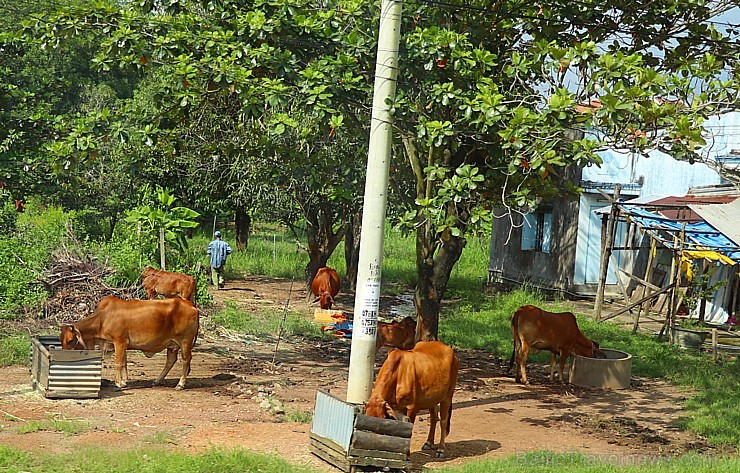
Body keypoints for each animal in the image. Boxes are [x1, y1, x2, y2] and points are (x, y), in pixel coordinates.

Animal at [59, 296, 199, 390]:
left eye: (70, 340)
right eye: (61, 340)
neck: (102, 319)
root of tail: (191, 305)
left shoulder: (120, 341)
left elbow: (118, 363)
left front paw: (118, 383)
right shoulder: (123, 344)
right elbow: (124, 362)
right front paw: (124, 381)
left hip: (185, 341)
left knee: (186, 360)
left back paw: (180, 384)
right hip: (172, 344)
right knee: (170, 361)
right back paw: (157, 381)